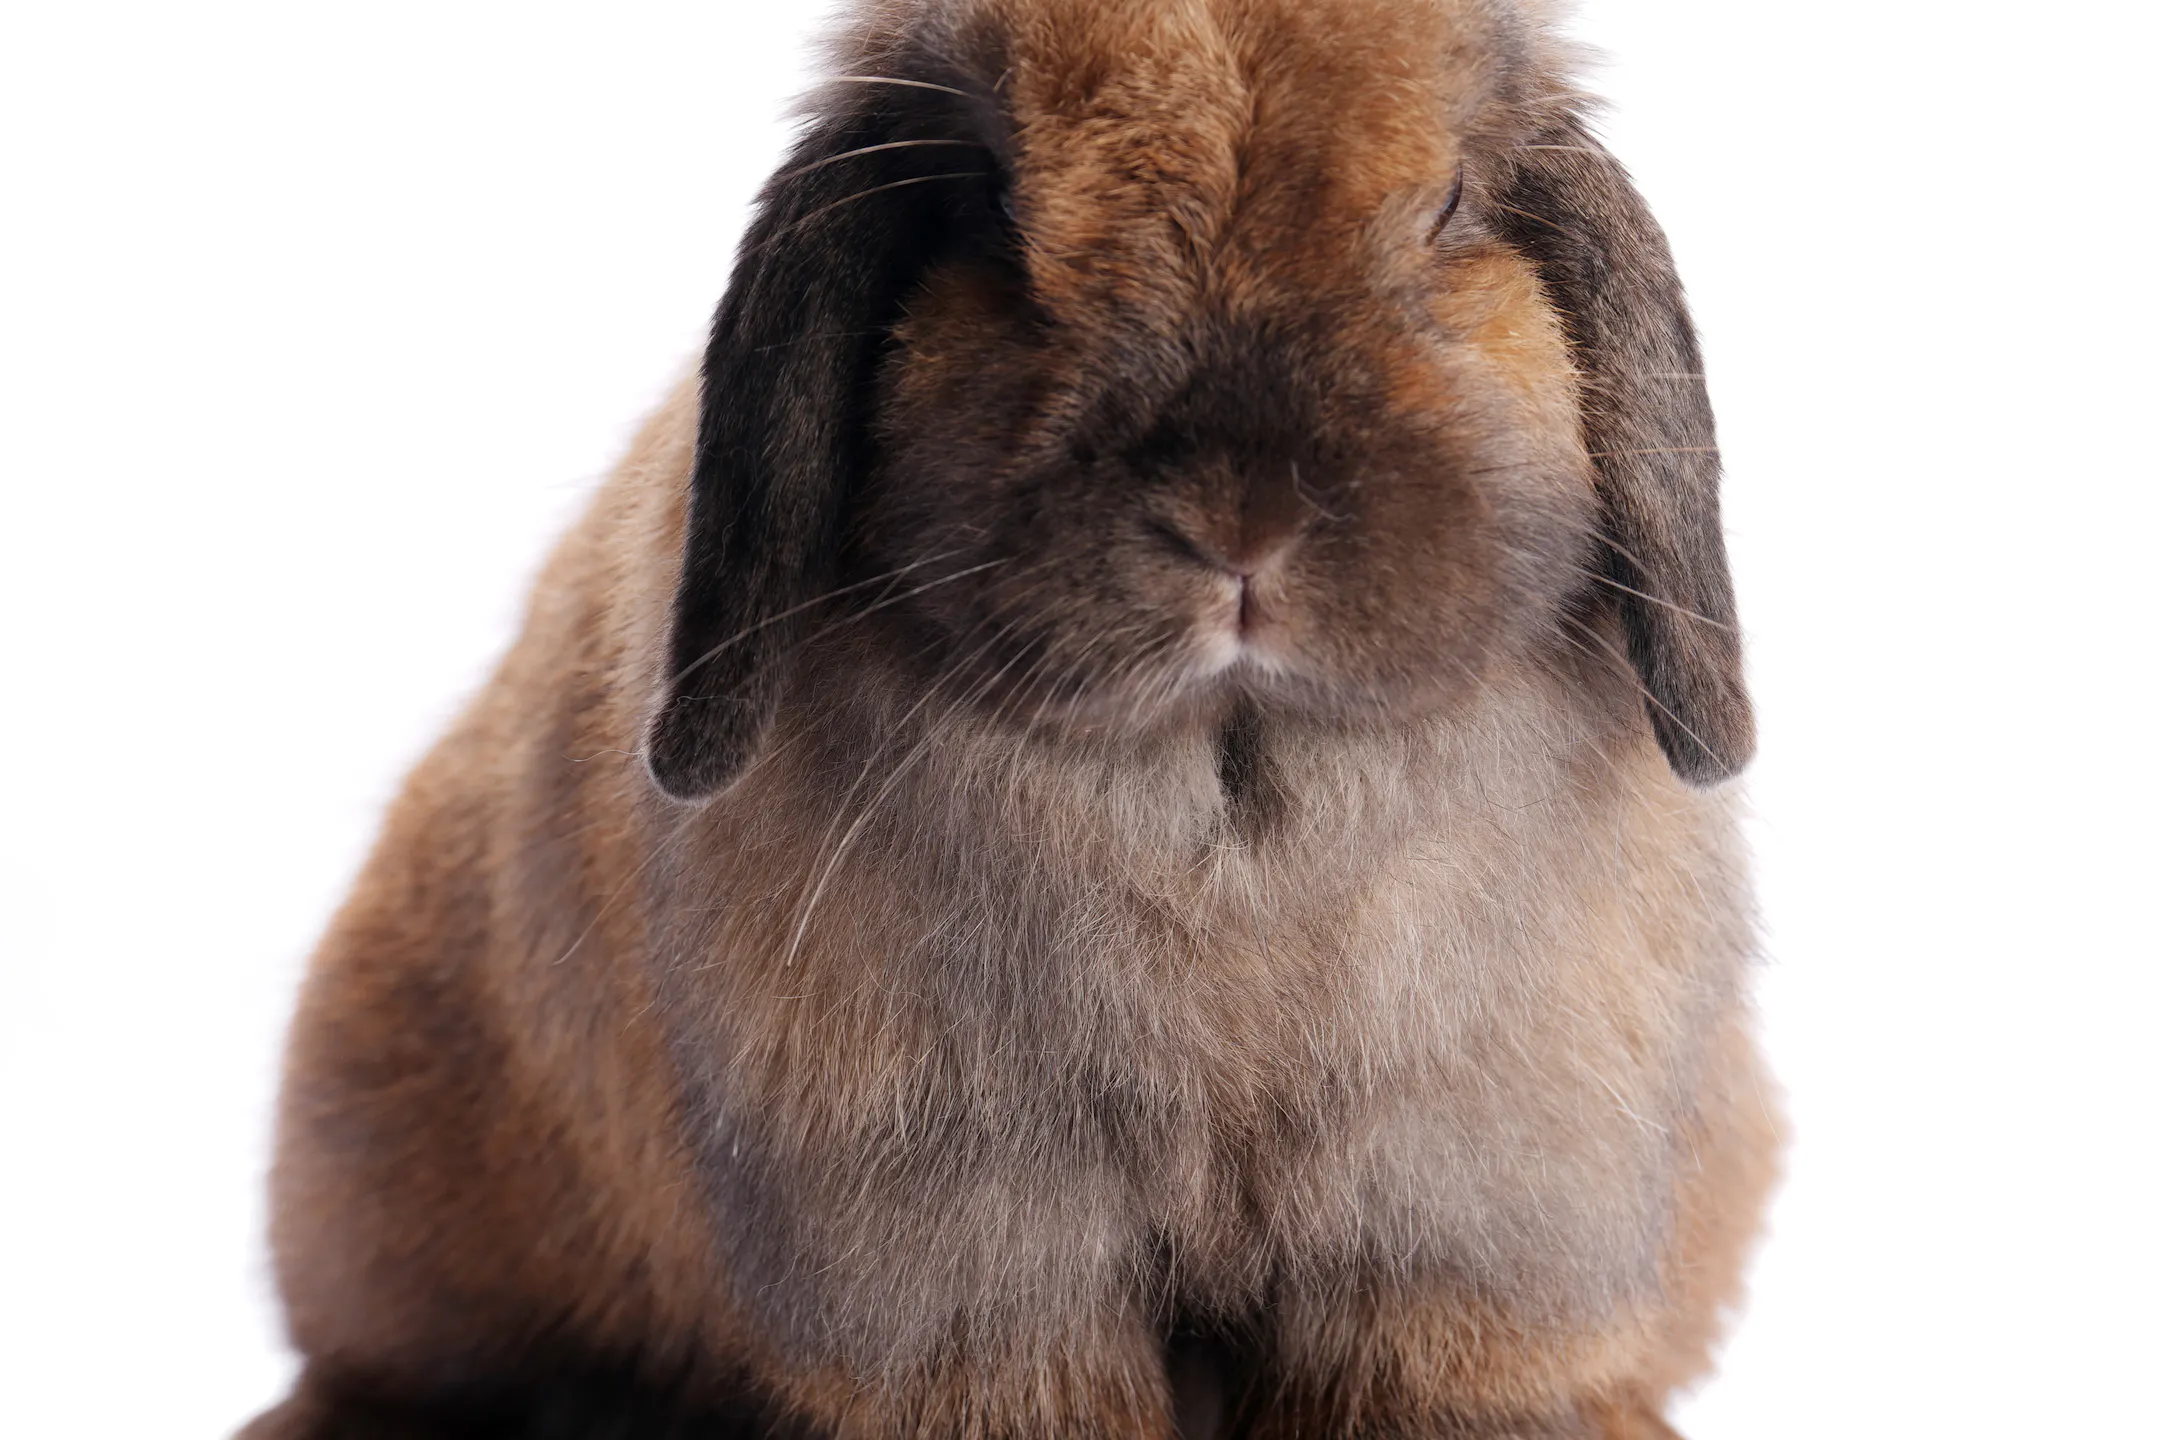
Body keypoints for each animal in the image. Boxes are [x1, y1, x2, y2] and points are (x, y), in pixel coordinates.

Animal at [242, 0, 1779, 1436]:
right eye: (989, 210)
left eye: (1451, 207)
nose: (1239, 519)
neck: (1228, 790)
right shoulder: (973, 1266)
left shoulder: (1452, 1240)